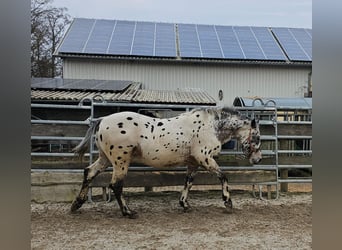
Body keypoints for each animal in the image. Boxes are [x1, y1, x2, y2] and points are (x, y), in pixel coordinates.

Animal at [69, 106, 262, 218]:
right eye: (257, 136)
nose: (258, 159)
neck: (211, 126)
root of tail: (102, 120)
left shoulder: (193, 163)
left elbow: (188, 182)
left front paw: (185, 204)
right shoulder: (205, 158)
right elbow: (223, 177)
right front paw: (228, 203)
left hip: (105, 159)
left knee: (89, 173)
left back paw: (76, 205)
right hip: (120, 161)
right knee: (116, 185)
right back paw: (128, 212)